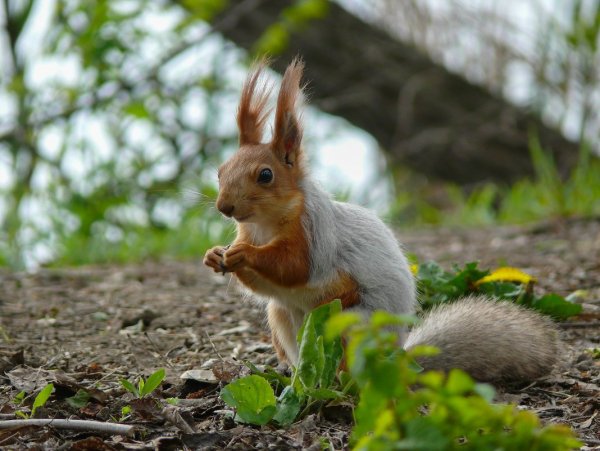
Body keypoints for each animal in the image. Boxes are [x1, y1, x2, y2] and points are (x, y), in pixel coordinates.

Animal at [203, 58, 556, 384]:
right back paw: (296, 376)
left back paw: (340, 379)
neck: (265, 224)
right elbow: (262, 283)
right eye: (220, 171)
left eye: (265, 175)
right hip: (282, 316)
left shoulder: (314, 233)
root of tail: (398, 359)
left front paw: (244, 254)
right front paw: (215, 255)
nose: (224, 207)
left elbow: (293, 266)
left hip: (350, 323)